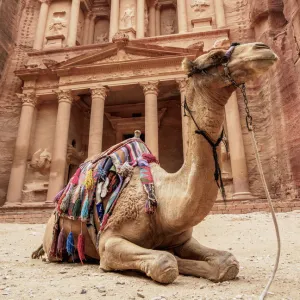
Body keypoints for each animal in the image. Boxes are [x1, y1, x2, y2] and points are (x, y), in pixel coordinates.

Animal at [32, 41, 276, 284]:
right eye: (215, 56)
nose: (262, 48)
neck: (162, 200)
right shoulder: (109, 240)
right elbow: (165, 261)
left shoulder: (183, 239)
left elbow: (227, 262)